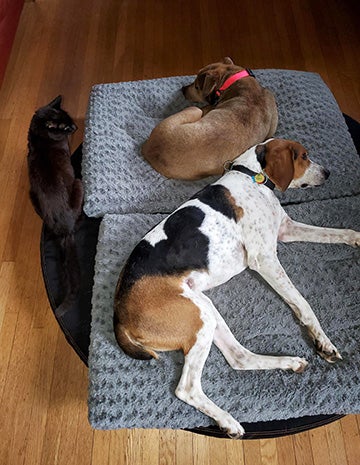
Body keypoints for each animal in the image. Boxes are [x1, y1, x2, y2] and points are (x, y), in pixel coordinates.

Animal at [27, 96, 83, 318]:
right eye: (66, 127)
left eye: (70, 120)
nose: (76, 127)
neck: (40, 137)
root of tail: (64, 230)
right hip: (78, 183)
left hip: (32, 197)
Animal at [114, 138, 358, 436]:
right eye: (303, 156)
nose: (327, 173)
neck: (252, 176)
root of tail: (118, 313)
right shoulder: (264, 259)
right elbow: (302, 303)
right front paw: (323, 342)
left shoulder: (287, 230)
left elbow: (336, 232)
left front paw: (357, 237)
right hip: (199, 318)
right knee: (187, 389)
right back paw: (227, 420)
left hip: (205, 309)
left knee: (238, 357)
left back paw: (288, 363)